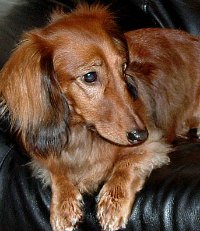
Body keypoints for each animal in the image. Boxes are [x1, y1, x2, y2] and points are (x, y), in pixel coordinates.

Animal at [0, 4, 171, 231]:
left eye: (124, 68)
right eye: (90, 76)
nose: (140, 135)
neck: (83, 131)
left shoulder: (153, 144)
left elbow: (126, 164)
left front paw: (113, 201)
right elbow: (57, 168)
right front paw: (64, 204)